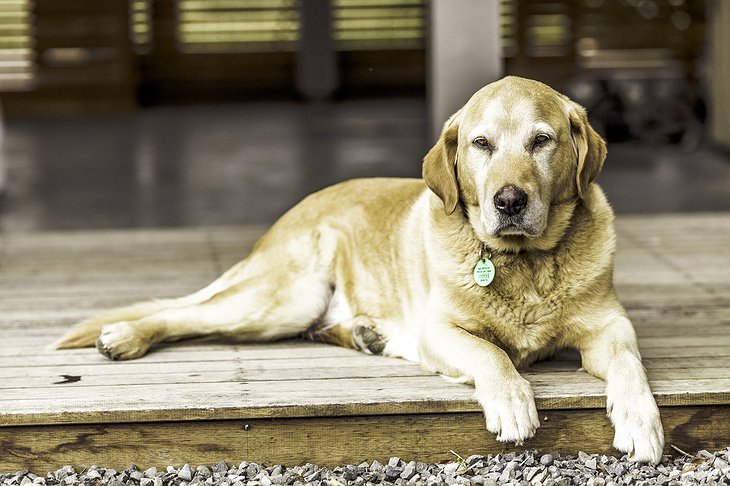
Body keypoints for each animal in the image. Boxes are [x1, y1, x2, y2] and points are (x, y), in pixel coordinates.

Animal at [54, 76, 664, 464]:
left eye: (542, 140)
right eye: (481, 144)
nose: (509, 201)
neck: (526, 263)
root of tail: (291, 213)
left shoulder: (611, 325)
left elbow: (630, 365)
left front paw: (641, 421)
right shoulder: (438, 330)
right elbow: (491, 353)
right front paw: (513, 401)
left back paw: (367, 333)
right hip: (282, 298)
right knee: (187, 316)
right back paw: (124, 336)